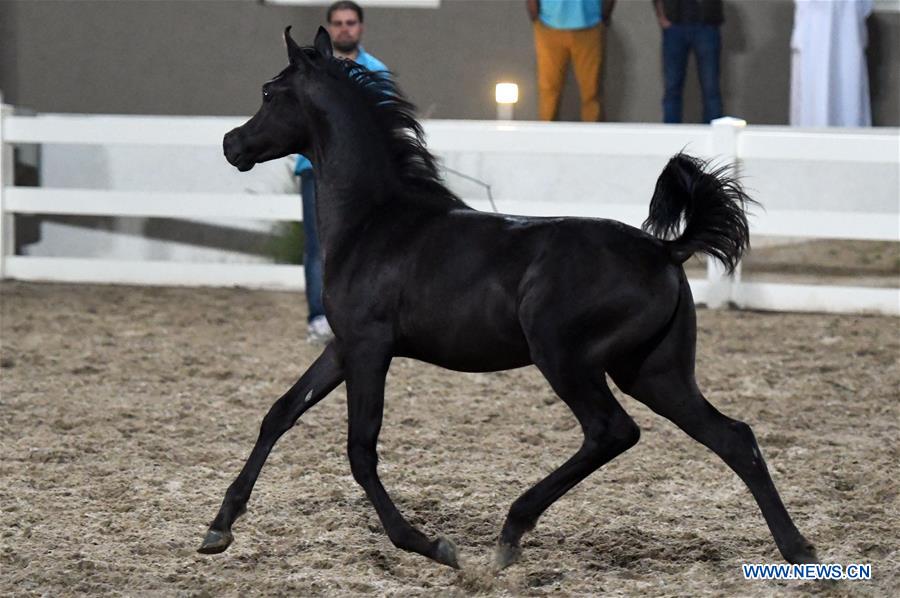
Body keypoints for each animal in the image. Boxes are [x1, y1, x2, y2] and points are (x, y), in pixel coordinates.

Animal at [200, 27, 820, 572]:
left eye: (268, 92)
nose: (231, 143)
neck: (375, 220)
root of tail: (664, 250)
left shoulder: (371, 346)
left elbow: (360, 449)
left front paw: (431, 546)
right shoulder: (343, 344)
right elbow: (281, 412)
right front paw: (218, 529)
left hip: (565, 357)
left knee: (612, 431)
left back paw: (512, 530)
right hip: (654, 371)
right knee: (734, 438)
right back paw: (799, 550)